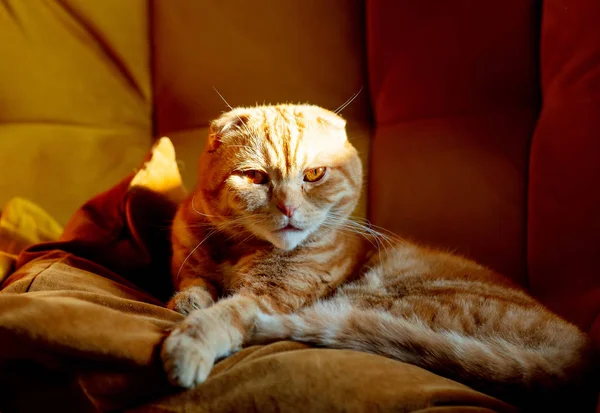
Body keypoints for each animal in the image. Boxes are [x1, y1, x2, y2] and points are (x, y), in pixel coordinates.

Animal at [161, 104, 596, 408]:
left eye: (314, 174)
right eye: (254, 177)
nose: (287, 208)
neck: (238, 247)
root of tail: (579, 352)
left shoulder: (271, 296)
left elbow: (226, 312)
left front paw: (190, 341)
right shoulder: (191, 259)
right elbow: (193, 283)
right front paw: (189, 300)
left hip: (377, 296)